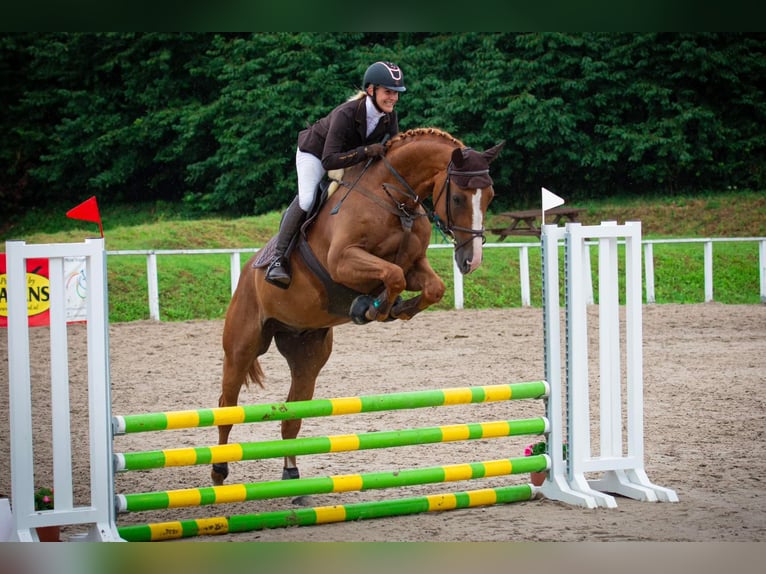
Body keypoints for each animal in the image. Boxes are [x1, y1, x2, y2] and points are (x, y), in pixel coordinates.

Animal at [212, 127, 504, 486]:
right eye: (459, 198)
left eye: (490, 196)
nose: (471, 261)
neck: (395, 200)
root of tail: (245, 275)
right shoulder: (344, 261)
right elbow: (391, 276)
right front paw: (369, 308)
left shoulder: (413, 266)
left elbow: (431, 287)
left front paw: (394, 309)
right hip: (242, 346)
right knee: (227, 405)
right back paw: (218, 471)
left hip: (307, 353)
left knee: (292, 416)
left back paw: (292, 474)